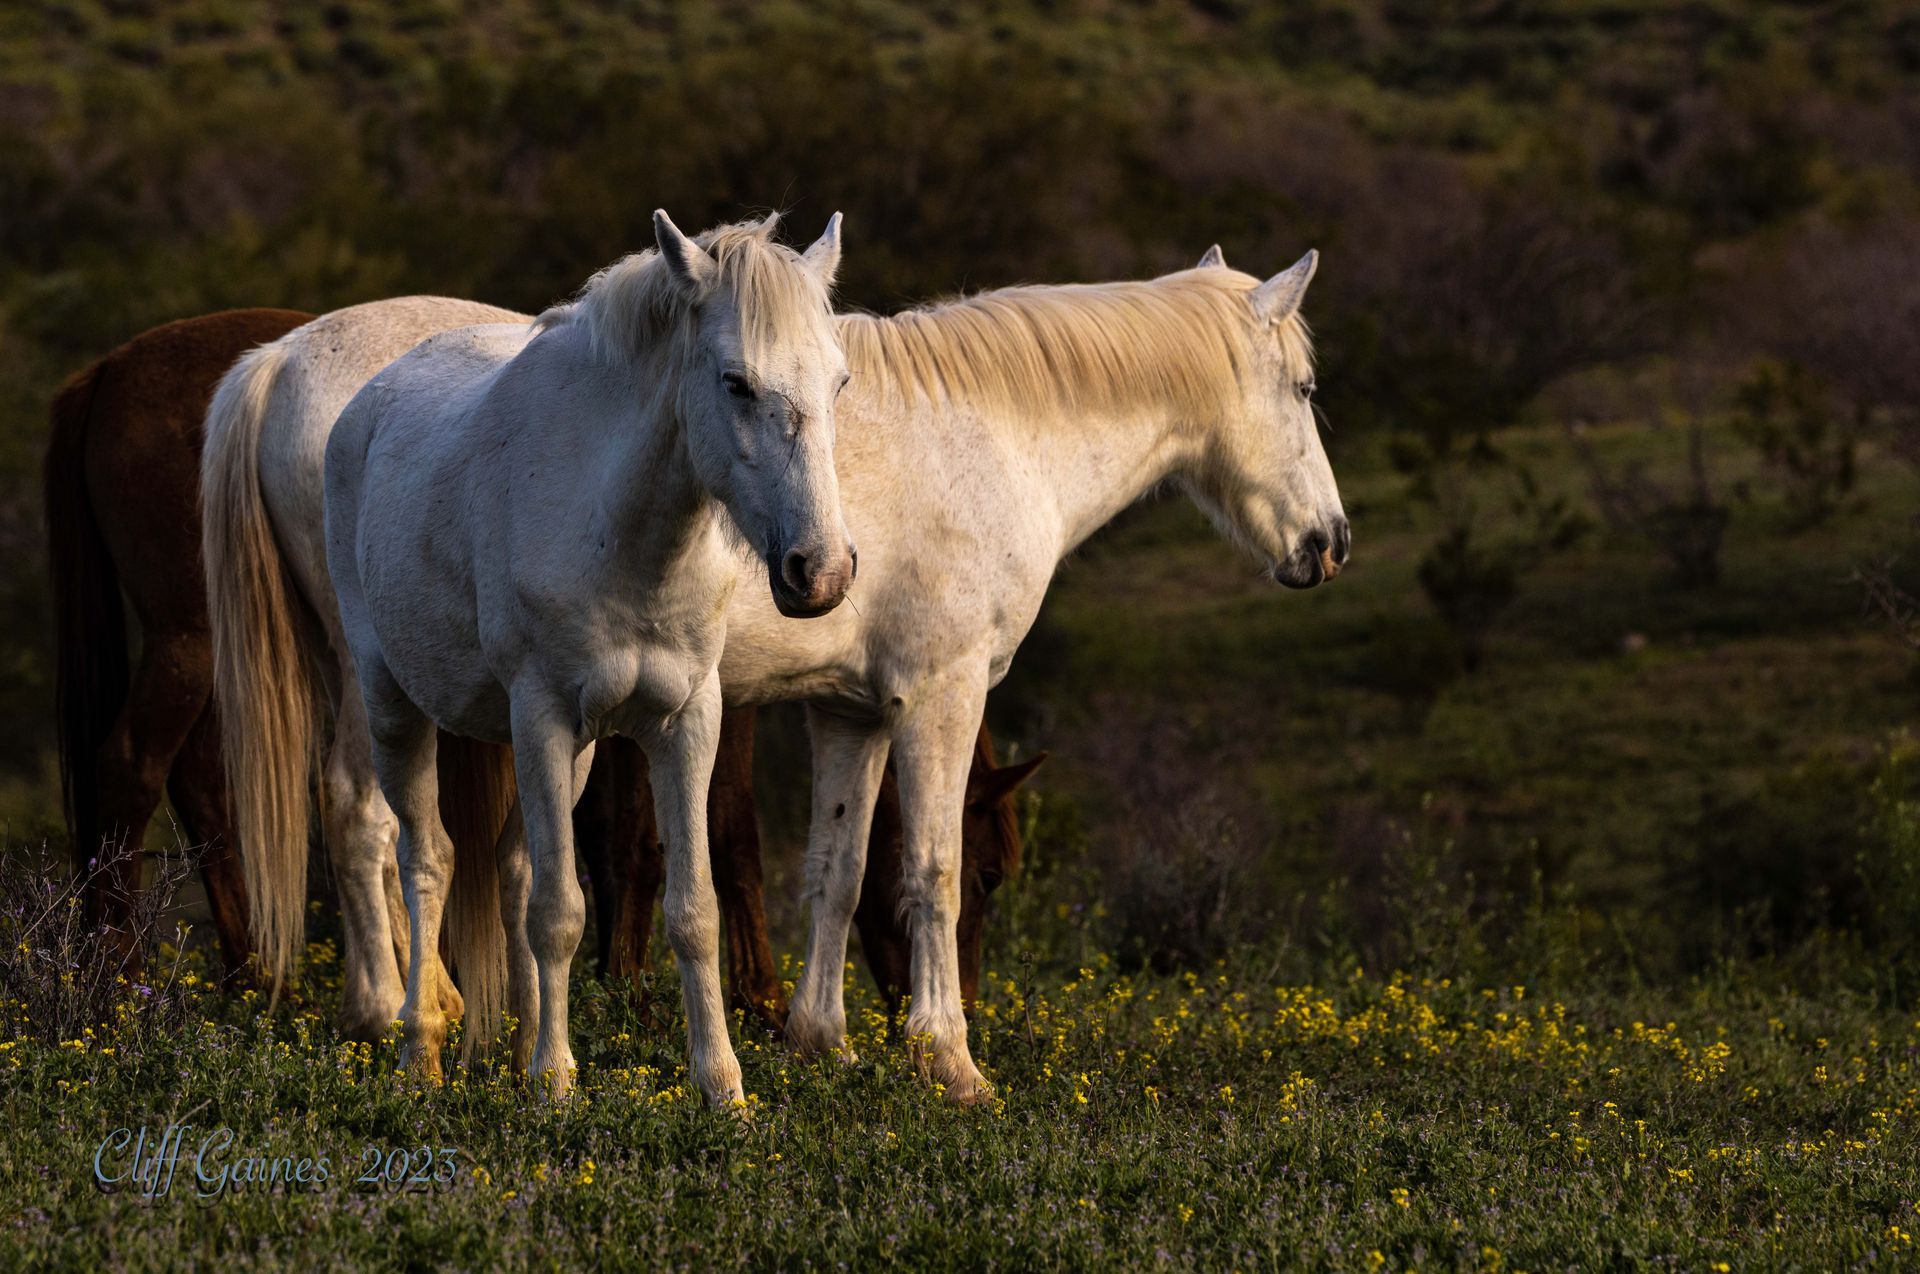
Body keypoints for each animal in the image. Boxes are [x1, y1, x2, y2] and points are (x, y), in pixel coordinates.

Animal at [44, 308, 312, 976]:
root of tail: (109, 370)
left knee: (200, 788)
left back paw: (252, 979)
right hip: (189, 635)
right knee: (134, 766)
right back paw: (119, 979)